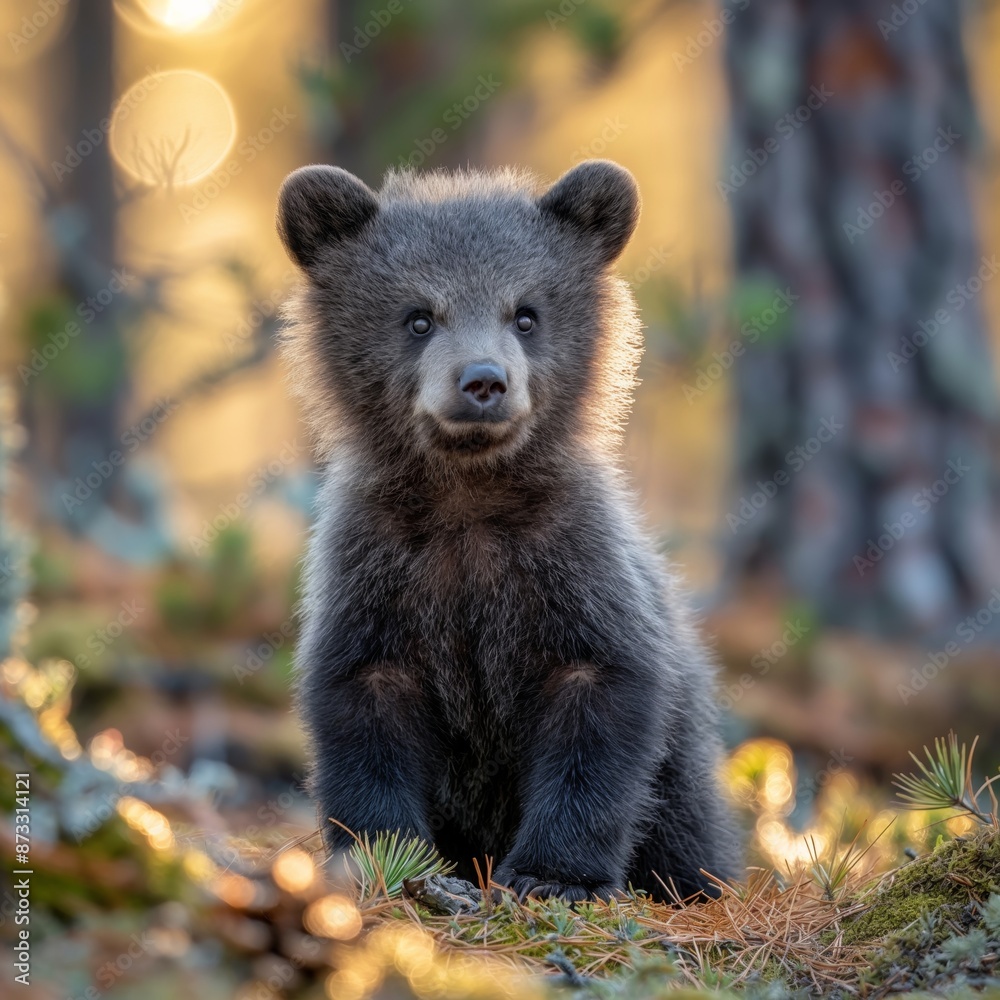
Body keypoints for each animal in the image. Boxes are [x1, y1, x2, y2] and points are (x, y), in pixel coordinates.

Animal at [275, 158, 739, 902]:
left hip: (687, 803)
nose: (483, 380)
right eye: (418, 316)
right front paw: (390, 856)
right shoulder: (376, 570)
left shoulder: (570, 564)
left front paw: (554, 874)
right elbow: (364, 710)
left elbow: (599, 705)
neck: (468, 500)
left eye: (525, 314)